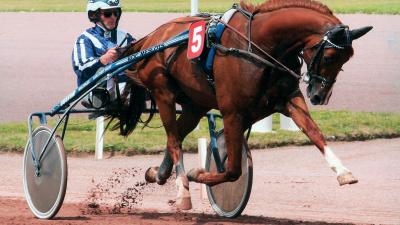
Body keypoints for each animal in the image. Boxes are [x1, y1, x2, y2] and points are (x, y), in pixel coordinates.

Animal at [114, 0, 374, 211]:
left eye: (347, 58)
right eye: (330, 57)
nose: (320, 96)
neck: (260, 46)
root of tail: (152, 38)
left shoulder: (287, 100)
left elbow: (315, 133)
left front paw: (343, 172)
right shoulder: (232, 112)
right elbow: (232, 170)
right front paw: (198, 173)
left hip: (194, 104)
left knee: (176, 135)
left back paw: (158, 173)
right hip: (163, 93)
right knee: (174, 141)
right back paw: (183, 193)